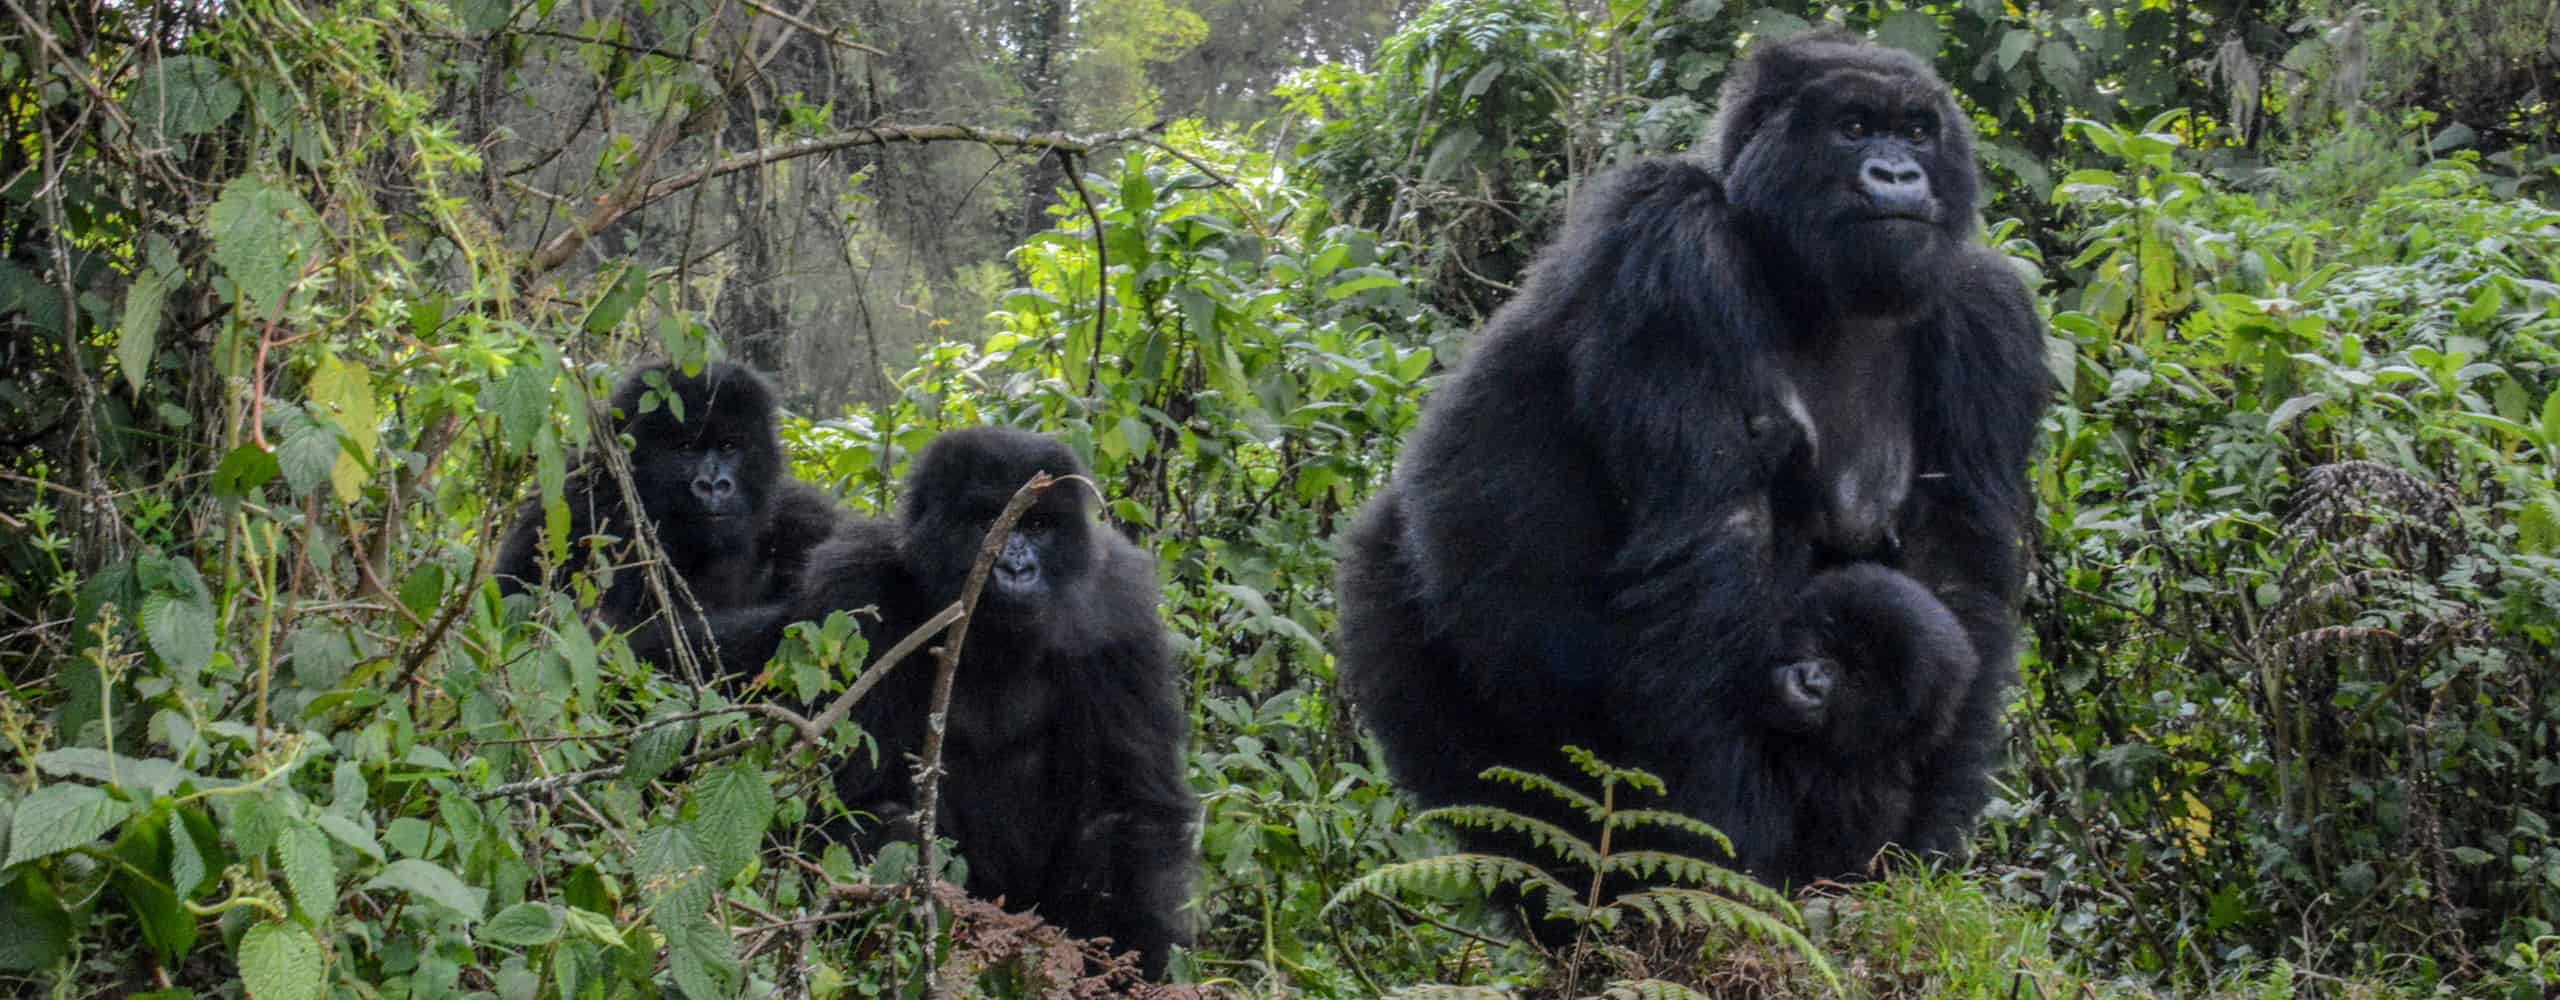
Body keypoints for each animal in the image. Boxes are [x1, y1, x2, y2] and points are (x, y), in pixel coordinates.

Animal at [640, 427, 1198, 982]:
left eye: (1038, 526)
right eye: (985, 522)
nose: (1017, 568)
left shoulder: (1120, 610)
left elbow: (1127, 811)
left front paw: (1133, 958)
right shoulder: (854, 589)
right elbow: (846, 801)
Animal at [1331, 29, 2048, 895]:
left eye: (1916, 132)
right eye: (1852, 128)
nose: (1899, 175)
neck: (1800, 272)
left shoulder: (1987, 313)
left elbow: (1956, 580)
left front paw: (1907, 844)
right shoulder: (1669, 234)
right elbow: (1712, 531)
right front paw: (1719, 848)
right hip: (1392, 598)